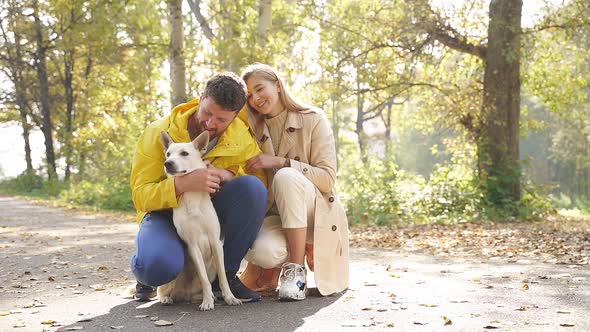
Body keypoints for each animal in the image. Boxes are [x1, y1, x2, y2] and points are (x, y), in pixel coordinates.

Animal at [157, 130, 243, 312]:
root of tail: (183, 294)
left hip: (211, 269)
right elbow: (203, 278)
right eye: (168, 154)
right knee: (163, 291)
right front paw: (207, 302)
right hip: (171, 280)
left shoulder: (216, 243)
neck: (192, 197)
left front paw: (230, 298)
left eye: (184, 153)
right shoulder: (192, 245)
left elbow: (223, 277)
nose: (168, 163)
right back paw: (168, 299)